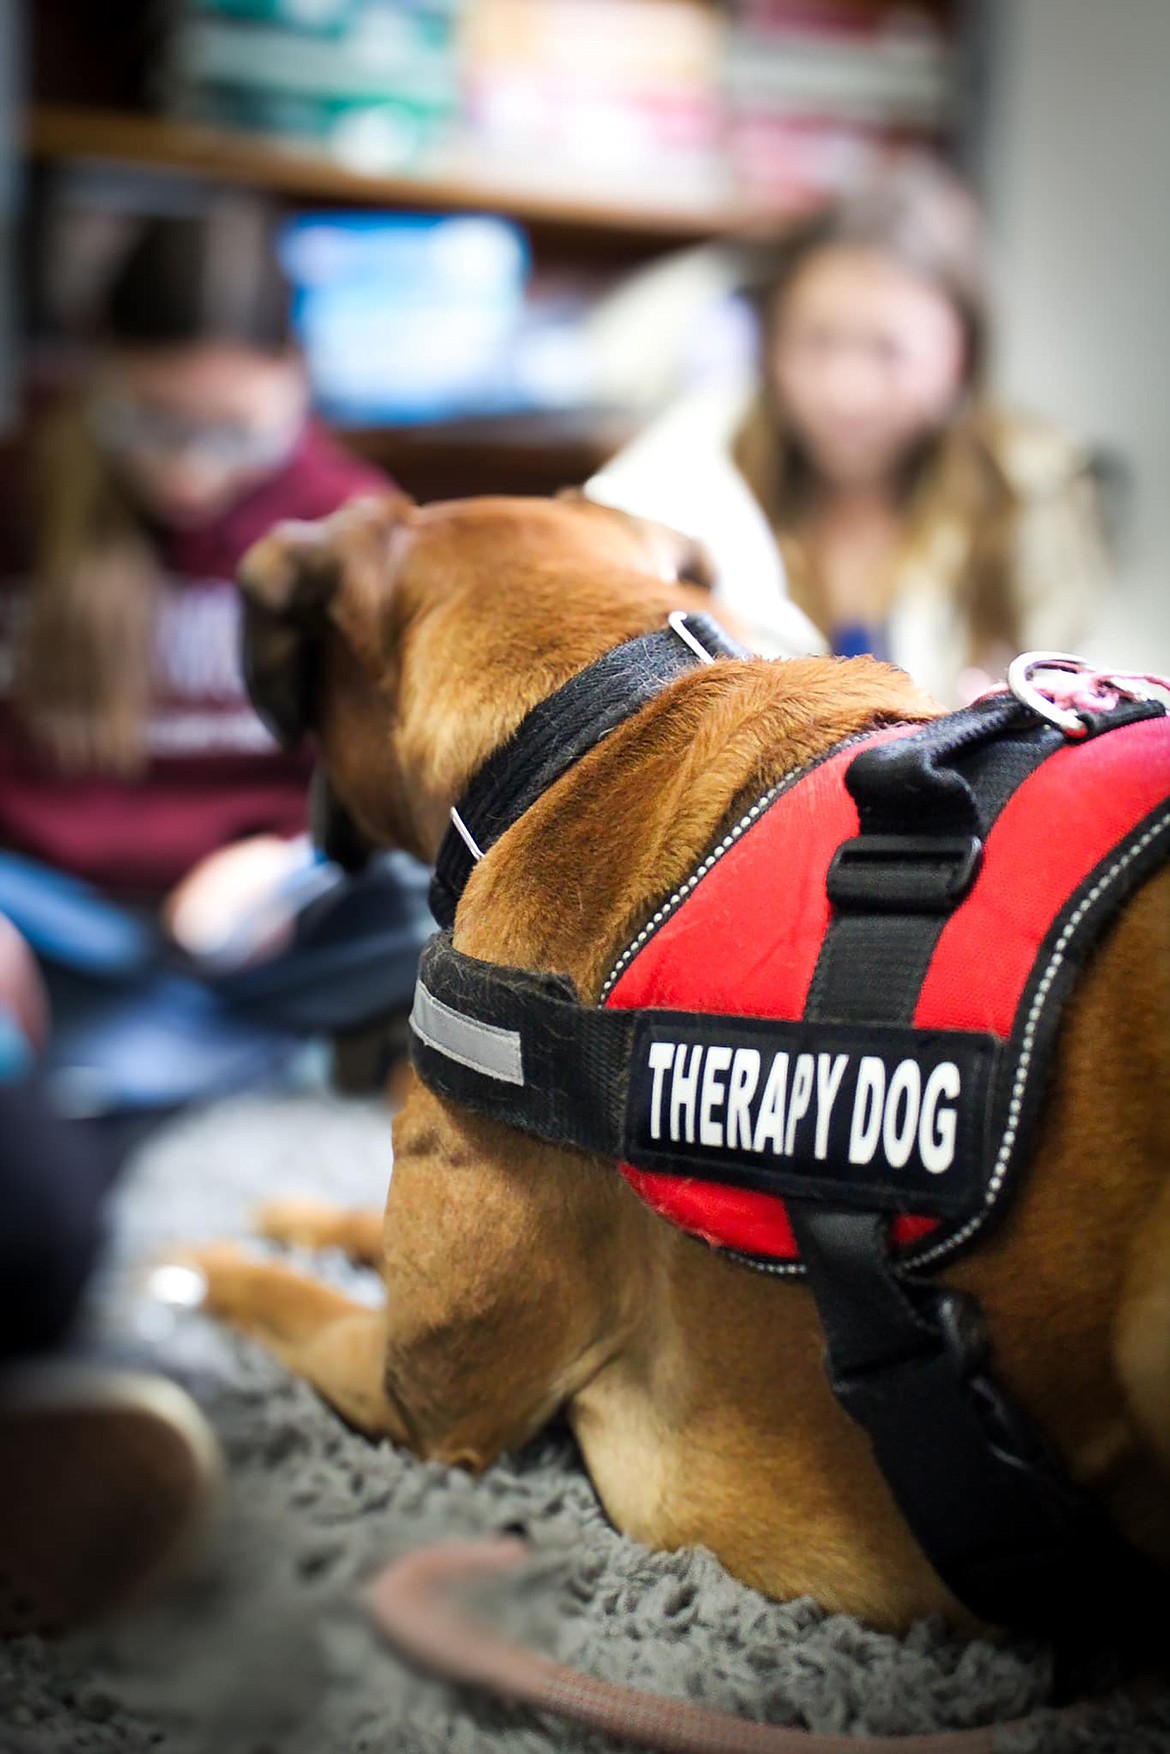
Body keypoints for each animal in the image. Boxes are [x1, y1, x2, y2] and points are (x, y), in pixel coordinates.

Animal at [187, 491, 1170, 1627]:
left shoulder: (427, 1403)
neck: (590, 727)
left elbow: (281, 1299)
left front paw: (194, 1266)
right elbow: (348, 1233)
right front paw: (292, 1213)